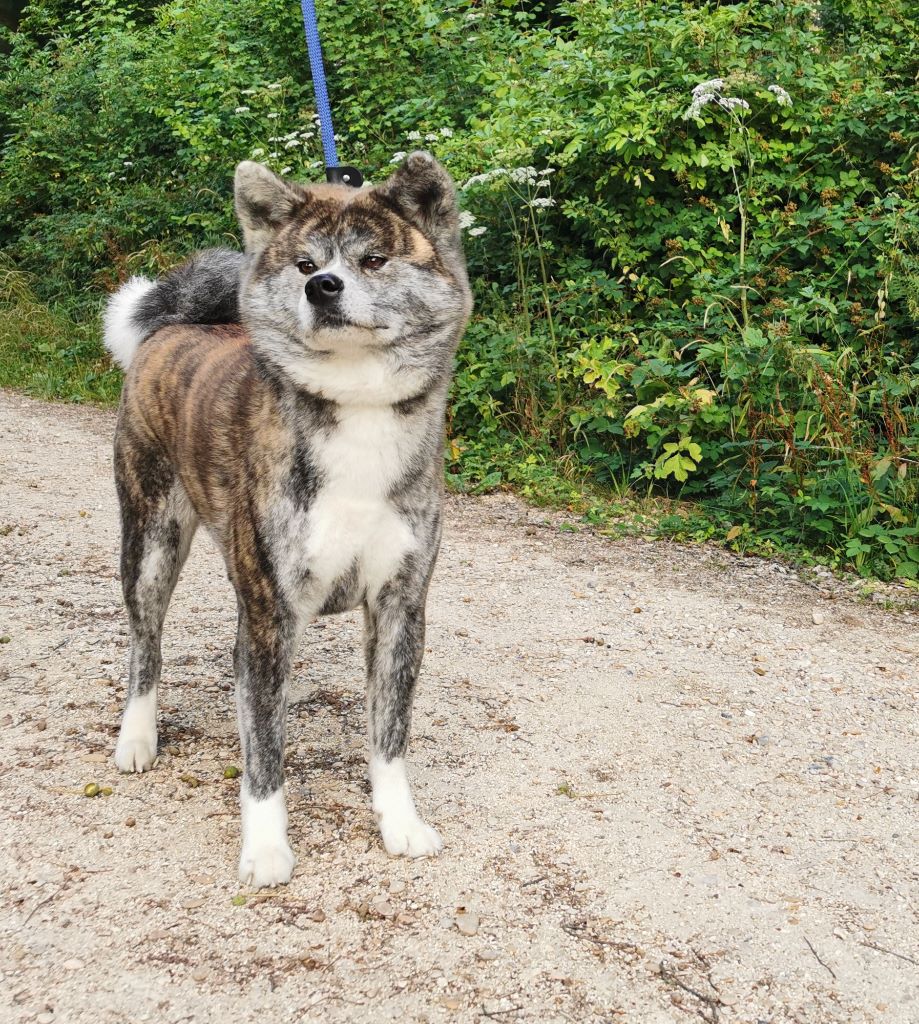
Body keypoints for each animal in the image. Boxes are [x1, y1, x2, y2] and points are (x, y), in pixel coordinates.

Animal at [103, 151, 469, 888]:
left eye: (374, 258)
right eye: (304, 264)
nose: (323, 287)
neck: (357, 408)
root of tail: (176, 324)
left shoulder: (399, 606)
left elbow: (389, 734)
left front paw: (399, 822)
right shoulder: (272, 614)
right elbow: (266, 750)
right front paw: (267, 847)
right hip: (151, 541)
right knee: (145, 646)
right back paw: (137, 736)